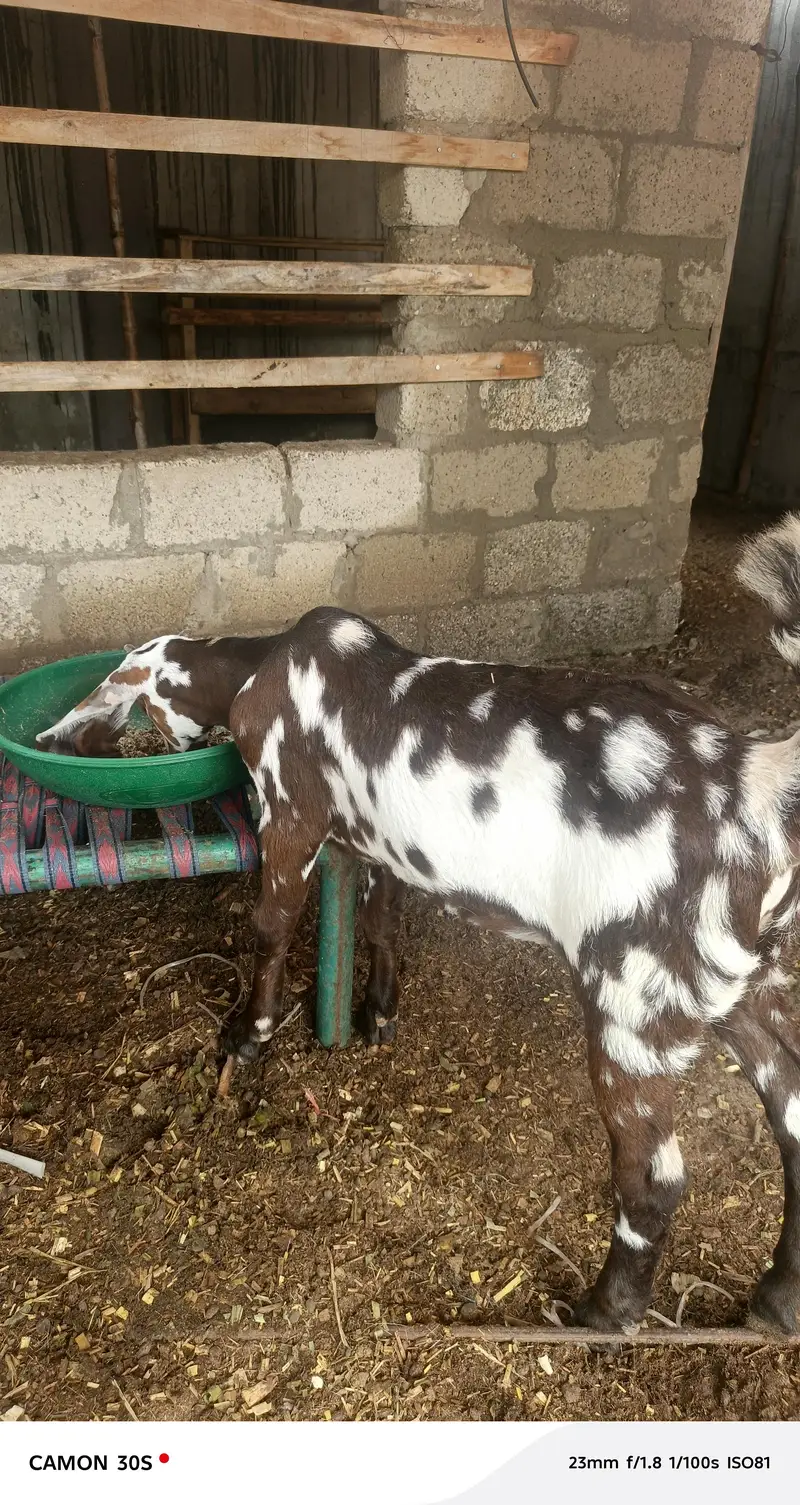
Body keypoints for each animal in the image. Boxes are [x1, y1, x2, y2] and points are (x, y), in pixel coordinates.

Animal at [220, 516, 800, 1336]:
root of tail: (760, 781)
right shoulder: (379, 842)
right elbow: (381, 919)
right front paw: (376, 1015)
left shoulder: (291, 812)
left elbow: (272, 922)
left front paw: (247, 1035)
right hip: (741, 979)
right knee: (797, 1121)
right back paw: (776, 1304)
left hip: (636, 1002)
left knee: (653, 1175)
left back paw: (604, 1314)